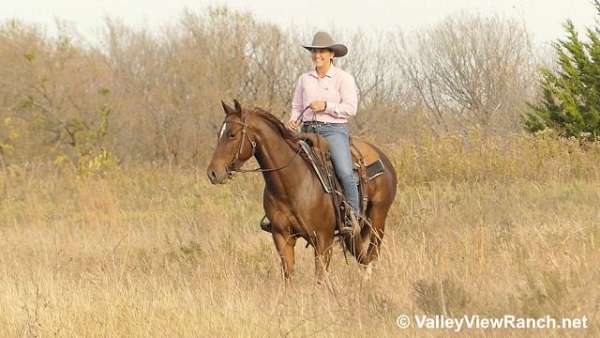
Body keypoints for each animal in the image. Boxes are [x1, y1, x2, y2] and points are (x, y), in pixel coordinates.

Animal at [206, 99, 398, 282]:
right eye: (219, 134)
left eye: (232, 134)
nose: (213, 173)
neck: (291, 184)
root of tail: (384, 159)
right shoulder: (282, 236)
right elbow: (288, 275)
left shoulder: (323, 239)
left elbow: (320, 278)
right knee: (362, 257)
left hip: (377, 220)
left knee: (372, 255)